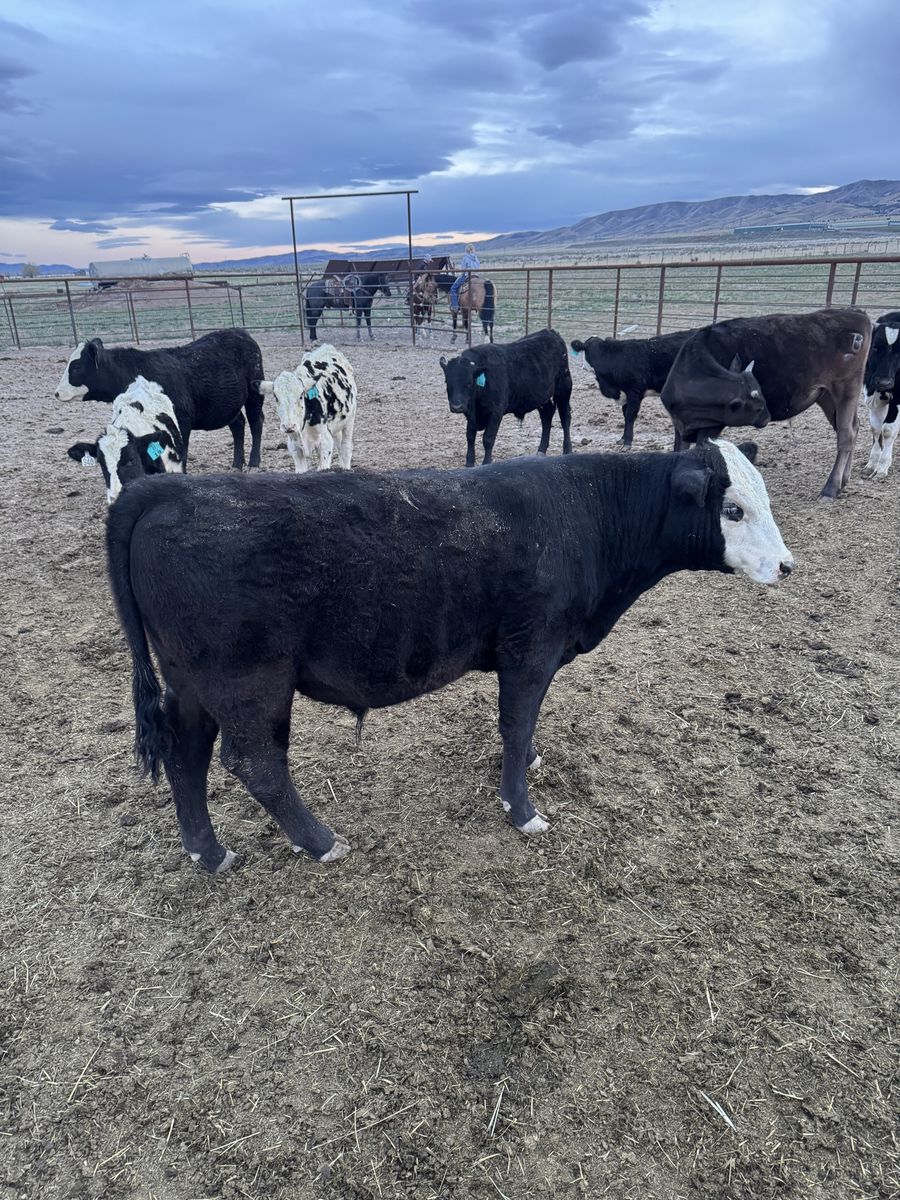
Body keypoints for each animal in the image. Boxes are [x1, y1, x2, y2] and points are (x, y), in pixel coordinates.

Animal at [55, 329, 265, 470]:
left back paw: (253, 464)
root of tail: (241, 333)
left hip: (255, 394)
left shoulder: (182, 422)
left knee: (256, 423)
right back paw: (237, 464)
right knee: (238, 425)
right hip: (230, 405)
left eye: (76, 366)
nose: (57, 393)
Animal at [105, 439, 793, 874]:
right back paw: (321, 842)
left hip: (190, 682)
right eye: (733, 508)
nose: (787, 566)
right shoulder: (530, 649)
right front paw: (522, 810)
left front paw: (532, 765)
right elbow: (515, 724)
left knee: (185, 754)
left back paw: (207, 851)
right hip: (248, 681)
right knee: (255, 762)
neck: (587, 512)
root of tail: (164, 491)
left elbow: (525, 729)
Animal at [259, 344, 357, 472]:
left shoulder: (325, 442)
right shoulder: (295, 448)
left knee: (345, 448)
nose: (289, 426)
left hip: (349, 421)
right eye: (276, 397)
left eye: (301, 395)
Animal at [440, 329, 573, 467]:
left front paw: (486, 463)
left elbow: (488, 438)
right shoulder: (471, 415)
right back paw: (541, 451)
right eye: (447, 382)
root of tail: (551, 332)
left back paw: (567, 450)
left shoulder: (496, 412)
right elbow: (470, 436)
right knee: (546, 416)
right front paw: (469, 463)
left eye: (469, 383)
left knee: (565, 417)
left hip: (564, 387)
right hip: (541, 396)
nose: (457, 406)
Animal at [660, 308, 872, 498]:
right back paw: (844, 480)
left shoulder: (712, 427)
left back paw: (831, 488)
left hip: (845, 388)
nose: (766, 417)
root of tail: (854, 313)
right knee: (854, 426)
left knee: (846, 434)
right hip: (825, 395)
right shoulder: (680, 425)